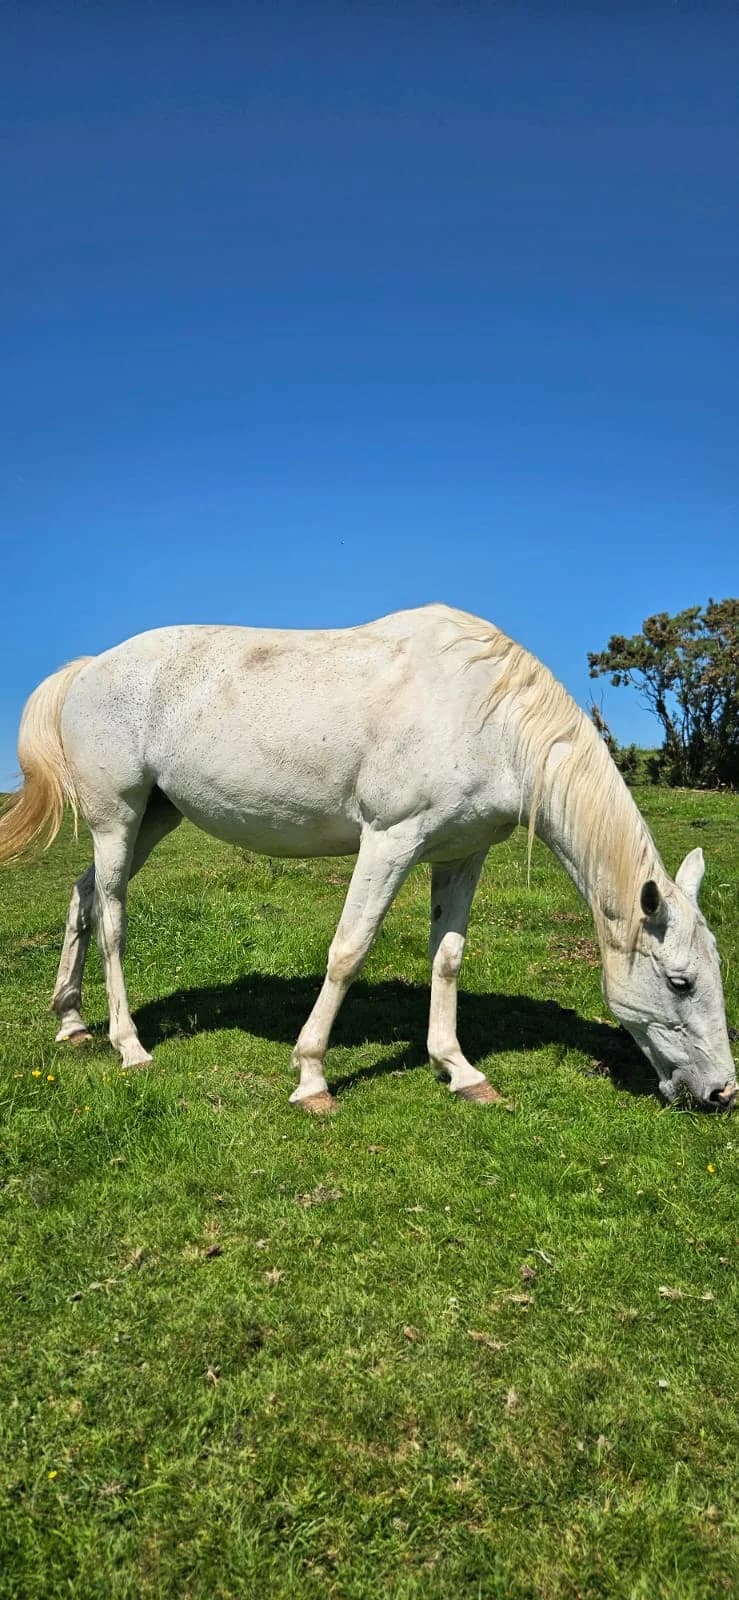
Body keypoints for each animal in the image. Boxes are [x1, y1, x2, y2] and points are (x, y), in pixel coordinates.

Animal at [1, 604, 735, 1113]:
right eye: (680, 983)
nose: (723, 1093)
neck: (489, 718)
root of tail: (89, 667)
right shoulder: (389, 840)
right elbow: (349, 951)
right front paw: (311, 1077)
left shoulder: (461, 854)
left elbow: (447, 956)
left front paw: (459, 1070)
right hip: (116, 818)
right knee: (113, 918)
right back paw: (129, 1046)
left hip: (152, 817)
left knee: (83, 895)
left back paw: (71, 1022)